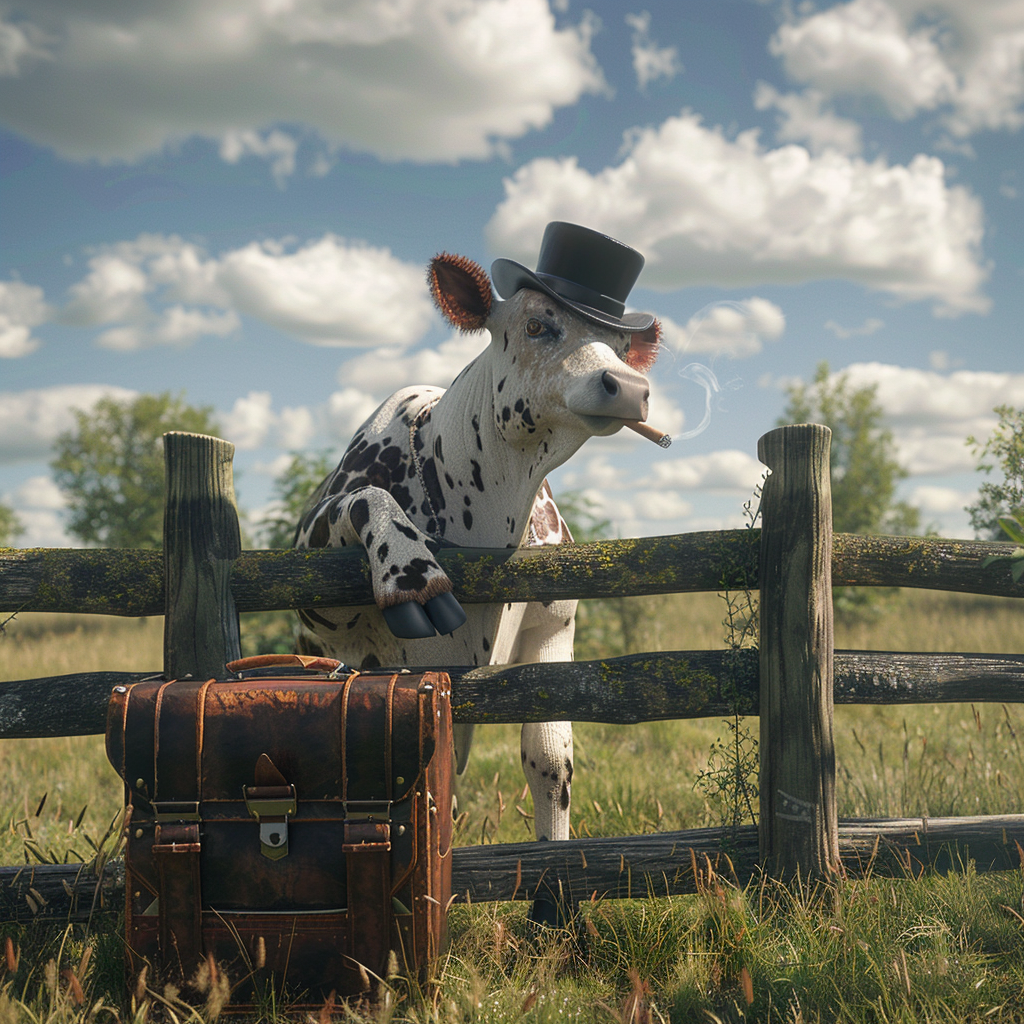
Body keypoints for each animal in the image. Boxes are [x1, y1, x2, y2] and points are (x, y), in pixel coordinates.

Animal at [292, 220, 659, 925]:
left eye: (626, 344)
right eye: (539, 324)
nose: (628, 385)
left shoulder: (553, 629)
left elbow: (549, 759)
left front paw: (554, 905)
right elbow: (366, 502)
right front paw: (410, 570)